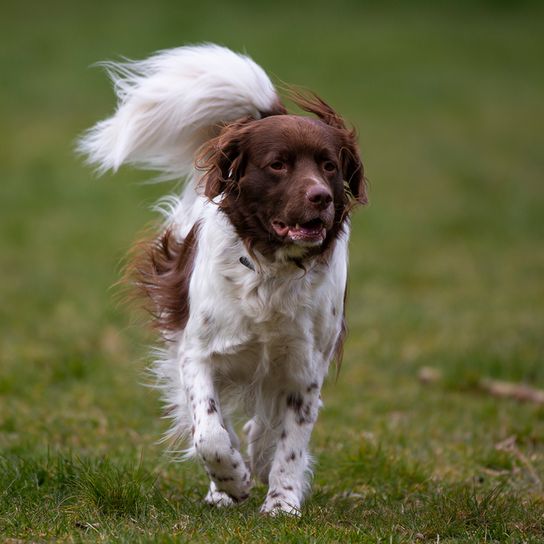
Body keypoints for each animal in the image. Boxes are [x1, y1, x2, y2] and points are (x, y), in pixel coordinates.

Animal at [79, 44, 366, 516]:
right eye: (278, 164)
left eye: (329, 165)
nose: (321, 197)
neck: (271, 272)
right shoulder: (197, 353)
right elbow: (210, 433)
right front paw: (232, 481)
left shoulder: (305, 369)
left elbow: (289, 441)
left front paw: (281, 503)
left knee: (263, 427)